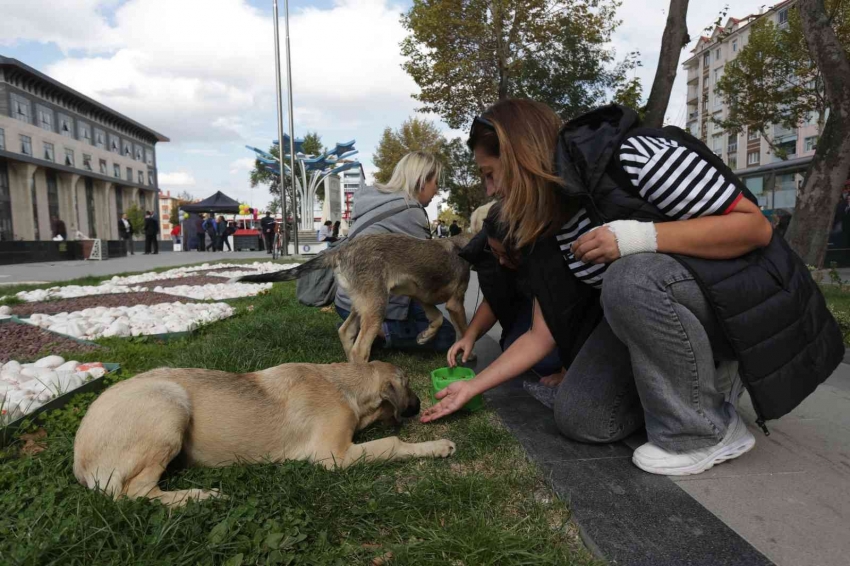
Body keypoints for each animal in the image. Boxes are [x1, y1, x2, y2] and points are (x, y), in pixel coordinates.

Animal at [73, 364, 454, 510]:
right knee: (136, 493)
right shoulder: (333, 455)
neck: (343, 384)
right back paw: (203, 496)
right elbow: (392, 444)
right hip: (170, 405)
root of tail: (81, 464)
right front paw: (438, 446)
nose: (420, 405)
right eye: (408, 385)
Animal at [234, 234, 470, 364]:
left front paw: (423, 337)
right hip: (376, 307)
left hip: (363, 303)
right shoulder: (455, 302)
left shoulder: (421, 296)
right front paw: (467, 354)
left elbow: (437, 318)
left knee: (345, 331)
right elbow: (465, 331)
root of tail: (341, 251)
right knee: (359, 349)